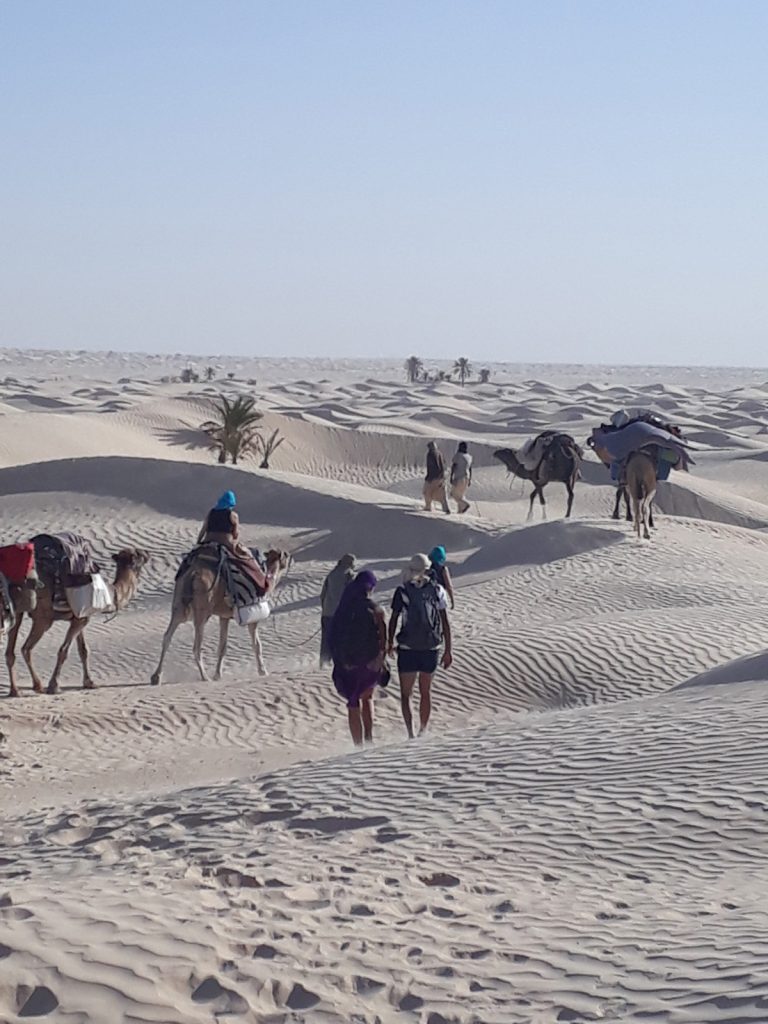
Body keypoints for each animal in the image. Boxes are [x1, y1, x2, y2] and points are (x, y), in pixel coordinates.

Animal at [5, 548, 150, 700]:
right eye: (140, 554)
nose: (148, 553)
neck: (111, 594)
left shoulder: (80, 617)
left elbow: (83, 650)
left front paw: (90, 682)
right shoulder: (81, 619)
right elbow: (64, 650)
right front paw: (54, 686)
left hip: (18, 611)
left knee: (11, 651)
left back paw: (15, 690)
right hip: (43, 617)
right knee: (26, 648)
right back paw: (38, 686)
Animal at [150, 548, 290, 684]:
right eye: (285, 555)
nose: (288, 554)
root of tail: (193, 574)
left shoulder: (224, 617)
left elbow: (222, 646)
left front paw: (218, 675)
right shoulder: (253, 615)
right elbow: (257, 644)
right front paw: (263, 672)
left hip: (179, 605)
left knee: (167, 636)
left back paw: (156, 677)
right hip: (202, 609)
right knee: (196, 646)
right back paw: (204, 677)